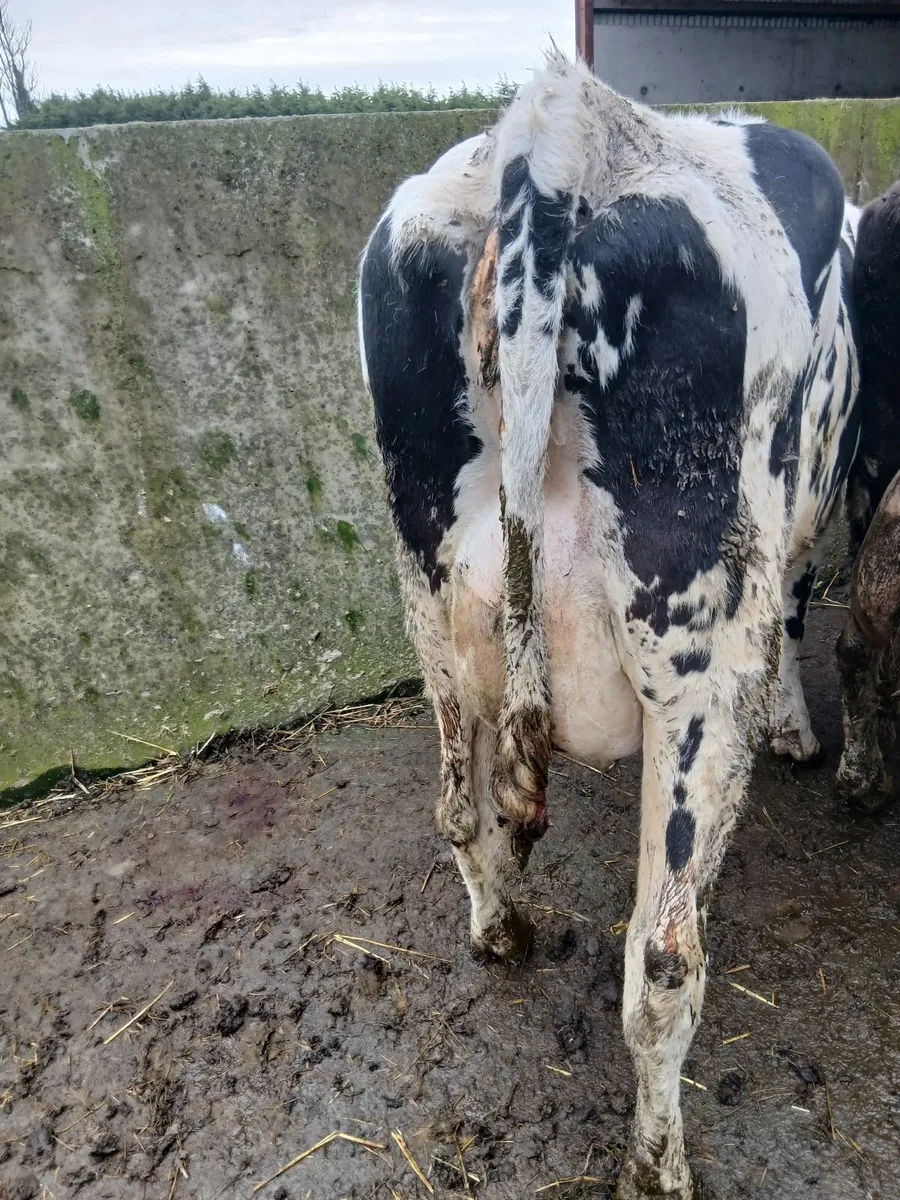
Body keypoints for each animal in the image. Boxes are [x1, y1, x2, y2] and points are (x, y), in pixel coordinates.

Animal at [358, 52, 861, 1199]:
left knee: (460, 810)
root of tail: (556, 139)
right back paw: (659, 1164)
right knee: (666, 956)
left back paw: (503, 932)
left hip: (430, 606)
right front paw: (798, 731)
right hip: (694, 655)